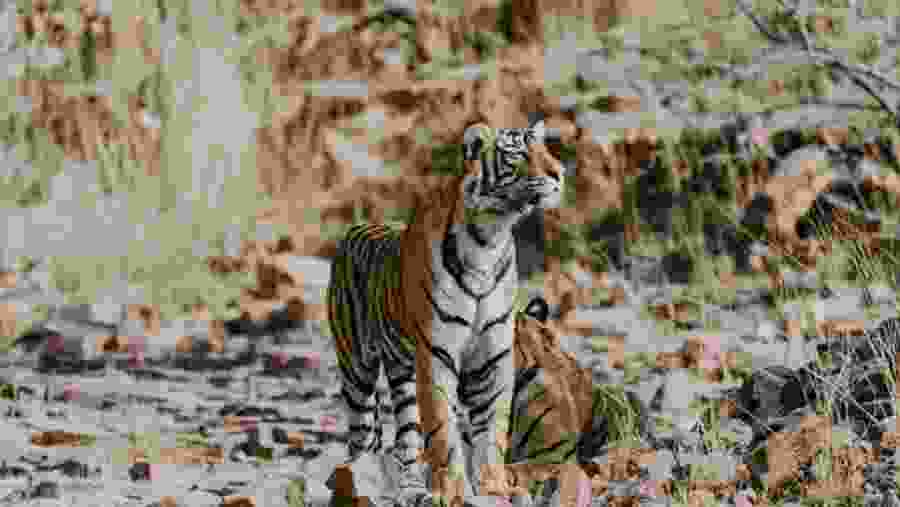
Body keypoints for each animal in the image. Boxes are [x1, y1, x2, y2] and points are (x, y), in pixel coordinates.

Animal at [327, 117, 566, 507]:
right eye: (518, 153)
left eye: (545, 149)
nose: (560, 173)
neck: (490, 238)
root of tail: (356, 228)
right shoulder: (437, 354)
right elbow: (442, 430)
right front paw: (451, 492)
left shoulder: (492, 356)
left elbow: (491, 431)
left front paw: (493, 488)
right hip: (357, 367)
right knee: (363, 437)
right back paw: (359, 484)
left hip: (404, 374)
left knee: (406, 439)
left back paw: (412, 489)